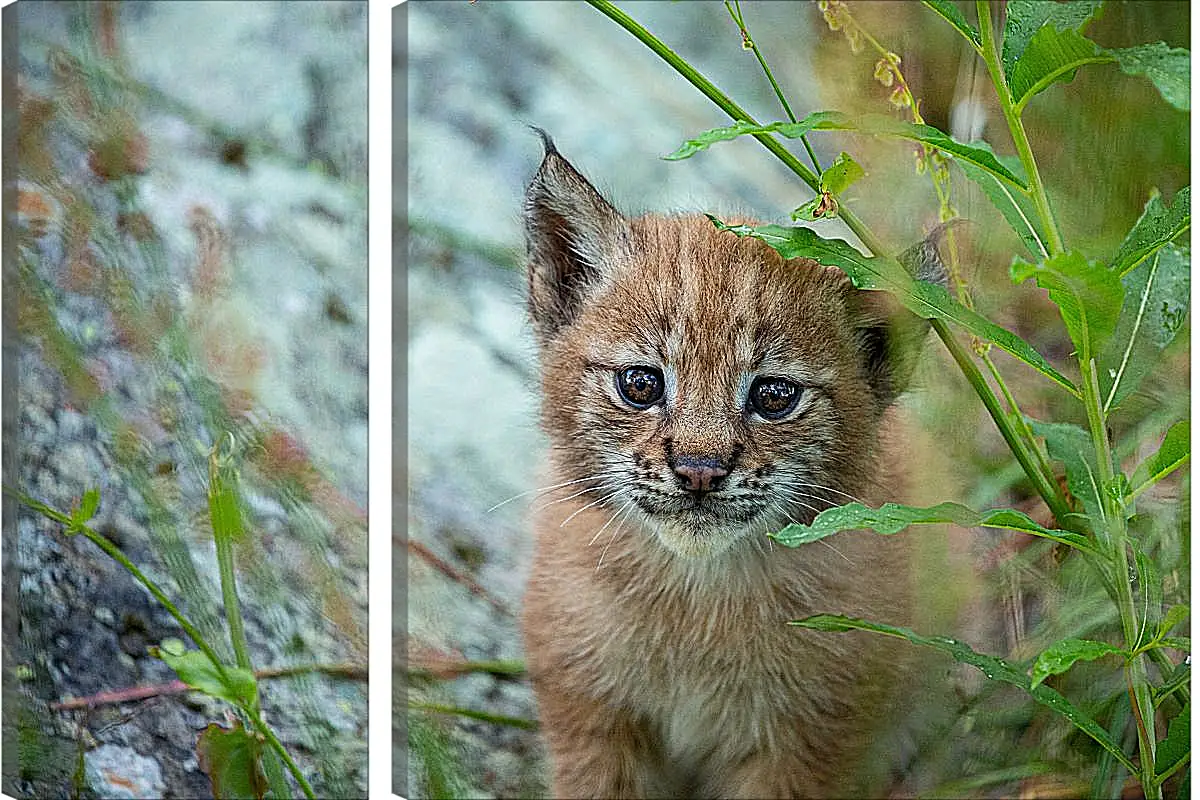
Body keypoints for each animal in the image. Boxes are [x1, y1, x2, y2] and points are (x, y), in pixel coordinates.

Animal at [520, 134, 940, 796]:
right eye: (640, 384)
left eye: (774, 396)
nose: (699, 469)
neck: (699, 593)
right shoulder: (589, 710)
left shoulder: (807, 741)